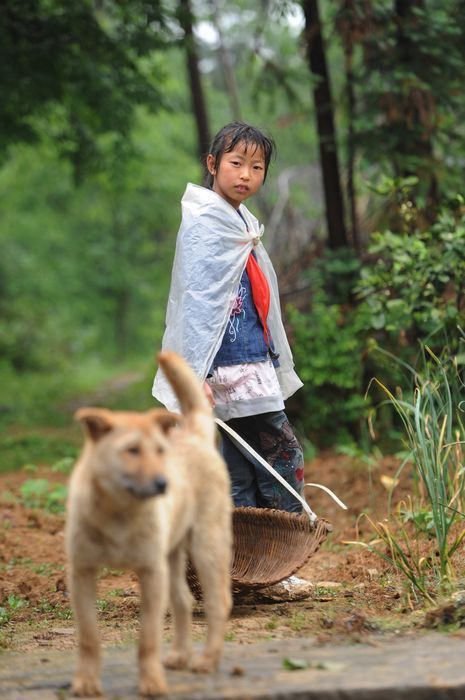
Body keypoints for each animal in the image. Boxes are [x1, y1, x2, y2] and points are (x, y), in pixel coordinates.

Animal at [65, 352, 232, 696]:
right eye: (131, 450)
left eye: (159, 451)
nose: (163, 484)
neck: (119, 511)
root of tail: (193, 431)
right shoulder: (81, 572)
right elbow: (88, 637)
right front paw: (86, 682)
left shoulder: (151, 572)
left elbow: (148, 638)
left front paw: (151, 682)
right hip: (173, 554)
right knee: (184, 601)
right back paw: (180, 655)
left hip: (207, 545)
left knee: (217, 601)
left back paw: (207, 660)